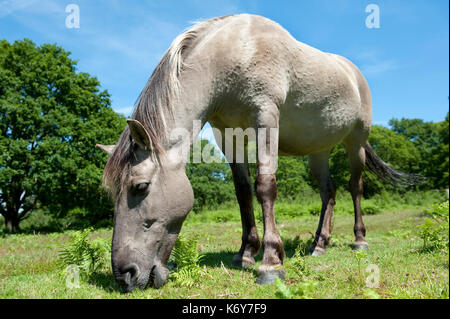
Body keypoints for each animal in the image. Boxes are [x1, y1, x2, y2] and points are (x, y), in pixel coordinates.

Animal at [96, 14, 418, 292]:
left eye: (140, 187)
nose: (125, 274)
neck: (236, 50)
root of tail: (353, 73)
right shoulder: (226, 135)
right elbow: (243, 191)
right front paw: (246, 253)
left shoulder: (266, 116)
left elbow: (265, 187)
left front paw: (271, 262)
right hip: (319, 151)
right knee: (329, 191)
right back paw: (319, 245)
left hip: (356, 141)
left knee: (355, 187)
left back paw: (359, 239)